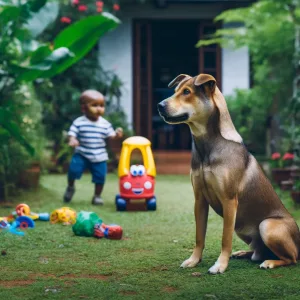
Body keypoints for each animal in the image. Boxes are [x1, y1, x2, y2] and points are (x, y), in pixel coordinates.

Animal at [157, 73, 300, 274]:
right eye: (176, 90)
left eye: (186, 92)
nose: (159, 105)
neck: (206, 146)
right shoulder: (199, 200)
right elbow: (199, 236)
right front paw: (194, 260)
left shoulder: (229, 201)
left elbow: (225, 239)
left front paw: (220, 265)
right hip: (243, 229)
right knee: (258, 252)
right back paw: (244, 253)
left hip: (267, 225)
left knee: (291, 258)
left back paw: (270, 262)